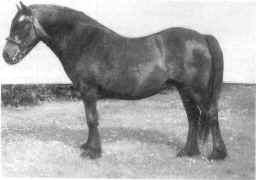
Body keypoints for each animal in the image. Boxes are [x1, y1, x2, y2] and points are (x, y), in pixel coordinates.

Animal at [3, 2, 227, 160]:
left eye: (23, 24)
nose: (6, 55)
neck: (83, 41)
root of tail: (202, 37)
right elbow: (90, 120)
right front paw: (88, 146)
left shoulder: (89, 91)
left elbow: (92, 119)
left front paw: (92, 152)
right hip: (184, 90)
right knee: (193, 117)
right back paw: (188, 151)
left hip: (197, 91)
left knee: (211, 115)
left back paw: (217, 154)